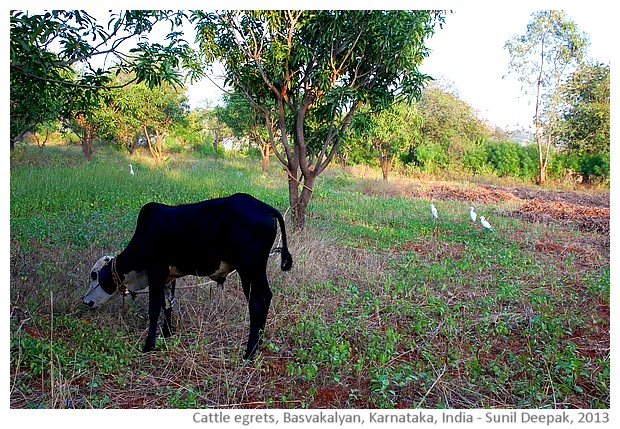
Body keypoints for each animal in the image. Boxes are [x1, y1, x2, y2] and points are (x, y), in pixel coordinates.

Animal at [83, 193, 294, 358]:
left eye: (94, 275)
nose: (86, 302)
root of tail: (263, 207)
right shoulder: (169, 277)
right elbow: (167, 304)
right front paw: (167, 334)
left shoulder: (156, 270)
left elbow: (154, 308)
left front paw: (149, 346)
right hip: (257, 270)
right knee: (266, 297)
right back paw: (259, 343)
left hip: (248, 269)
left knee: (257, 302)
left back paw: (249, 352)